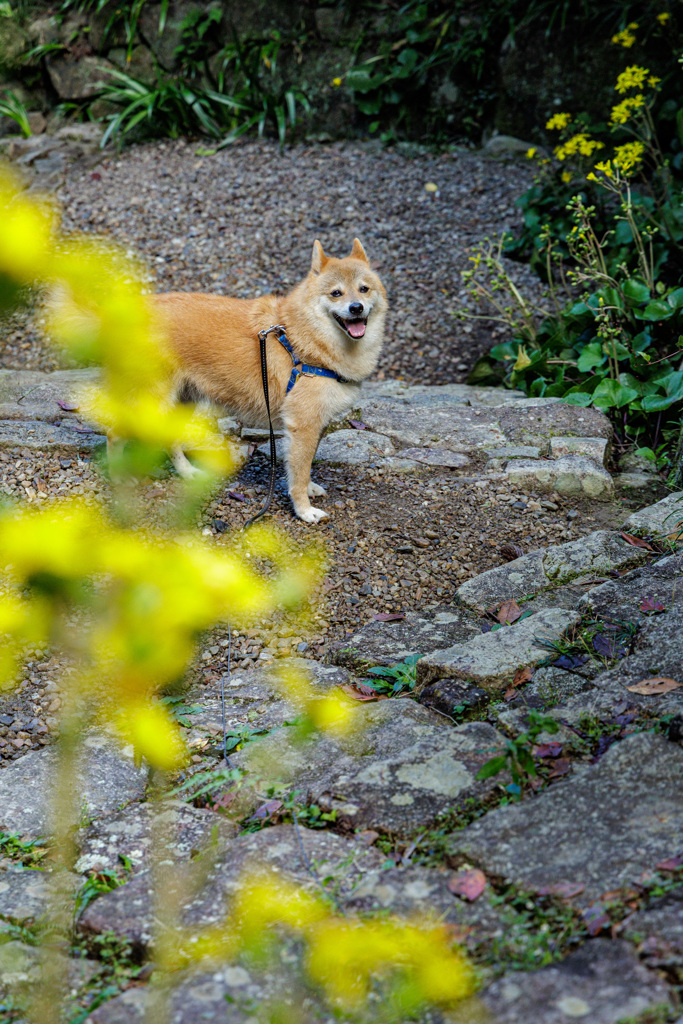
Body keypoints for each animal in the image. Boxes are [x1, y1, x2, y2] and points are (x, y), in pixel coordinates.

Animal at [156, 236, 389, 524]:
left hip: (182, 403)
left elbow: (303, 467)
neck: (305, 341)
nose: (356, 307)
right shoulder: (303, 425)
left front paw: (309, 489)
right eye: (336, 293)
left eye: (364, 289)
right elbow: (299, 473)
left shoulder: (314, 425)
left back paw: (187, 472)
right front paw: (304, 510)